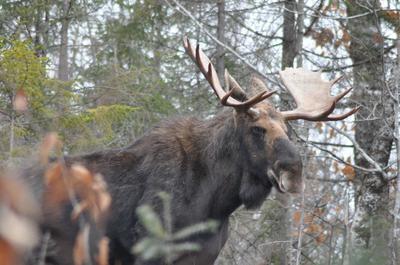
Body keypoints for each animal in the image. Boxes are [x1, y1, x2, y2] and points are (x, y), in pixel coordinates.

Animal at [32, 37, 358, 264]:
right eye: (257, 129)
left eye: (288, 131)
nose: (294, 172)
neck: (215, 201)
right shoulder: (149, 248)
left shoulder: (204, 255)